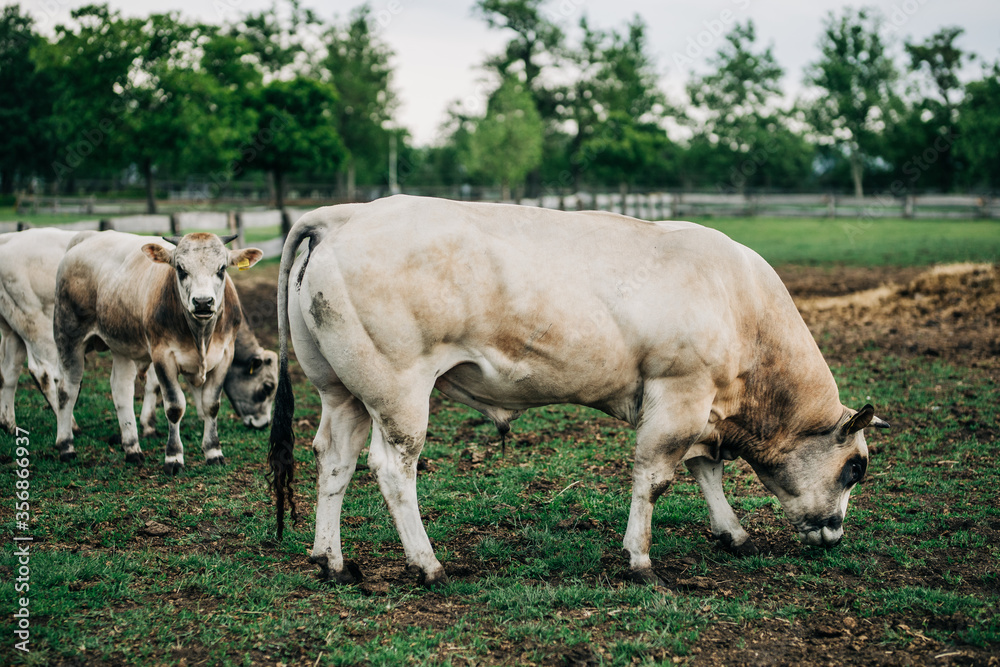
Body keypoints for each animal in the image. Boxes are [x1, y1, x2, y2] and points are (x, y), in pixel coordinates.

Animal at [0, 228, 277, 437]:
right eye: (267, 387)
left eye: (222, 268)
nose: (262, 423)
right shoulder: (158, 348)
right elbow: (155, 385)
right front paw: (149, 425)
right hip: (40, 327)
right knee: (47, 373)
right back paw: (71, 425)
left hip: (13, 330)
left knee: (9, 374)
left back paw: (10, 424)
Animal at [53, 230, 263, 473]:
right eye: (180, 269)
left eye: (221, 268)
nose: (203, 302)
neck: (201, 335)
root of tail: (86, 238)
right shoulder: (163, 356)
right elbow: (174, 406)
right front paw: (173, 457)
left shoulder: (225, 356)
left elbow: (211, 405)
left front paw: (213, 452)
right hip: (68, 335)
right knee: (66, 390)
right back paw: (66, 447)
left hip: (121, 343)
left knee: (121, 390)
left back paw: (132, 449)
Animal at [267, 195, 889, 587]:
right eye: (855, 468)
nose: (836, 533)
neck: (742, 310)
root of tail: (346, 214)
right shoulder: (678, 397)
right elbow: (656, 478)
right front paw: (639, 559)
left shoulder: (701, 410)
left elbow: (705, 470)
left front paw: (732, 533)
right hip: (397, 392)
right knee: (393, 469)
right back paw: (426, 564)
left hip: (342, 392)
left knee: (334, 461)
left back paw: (331, 561)